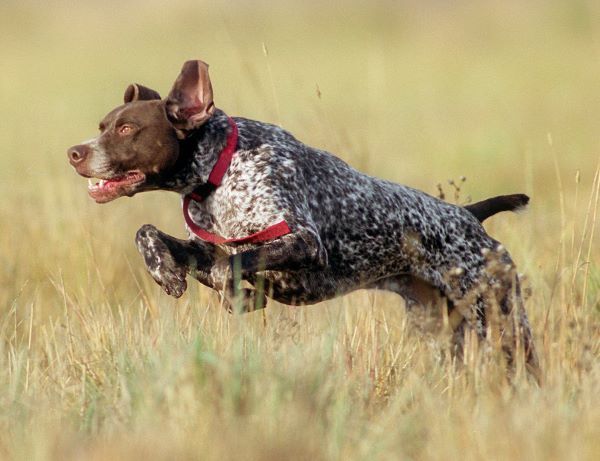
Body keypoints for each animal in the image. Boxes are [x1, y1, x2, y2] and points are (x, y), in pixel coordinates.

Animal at [68, 60, 540, 378]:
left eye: (127, 129)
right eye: (103, 125)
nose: (75, 152)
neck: (218, 171)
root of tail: (468, 216)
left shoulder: (303, 242)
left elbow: (232, 265)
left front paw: (238, 295)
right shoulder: (205, 247)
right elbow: (149, 234)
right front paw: (165, 271)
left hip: (502, 323)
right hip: (442, 329)